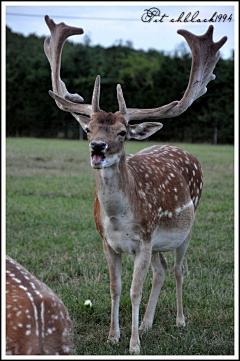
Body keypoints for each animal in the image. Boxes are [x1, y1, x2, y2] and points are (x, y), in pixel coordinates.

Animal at [43, 15, 227, 352]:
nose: (98, 147)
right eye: (88, 129)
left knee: (178, 269)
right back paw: (147, 323)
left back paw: (179, 320)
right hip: (158, 242)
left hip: (187, 227)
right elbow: (115, 288)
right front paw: (114, 336)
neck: (119, 219)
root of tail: (185, 151)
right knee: (162, 269)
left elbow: (133, 291)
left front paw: (134, 345)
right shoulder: (108, 242)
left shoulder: (143, 239)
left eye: (122, 132)